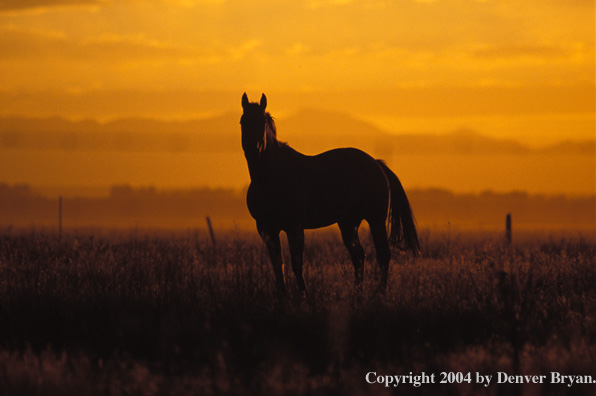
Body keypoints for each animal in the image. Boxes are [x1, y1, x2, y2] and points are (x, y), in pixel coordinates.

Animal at [240, 93, 416, 296]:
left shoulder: (294, 227)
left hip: (375, 219)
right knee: (359, 256)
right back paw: (357, 294)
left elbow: (296, 264)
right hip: (348, 223)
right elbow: (278, 267)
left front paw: (304, 296)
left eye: (263, 122)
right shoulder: (267, 229)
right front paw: (283, 297)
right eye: (242, 121)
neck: (272, 177)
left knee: (383, 255)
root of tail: (376, 164)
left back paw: (379, 293)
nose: (253, 151)